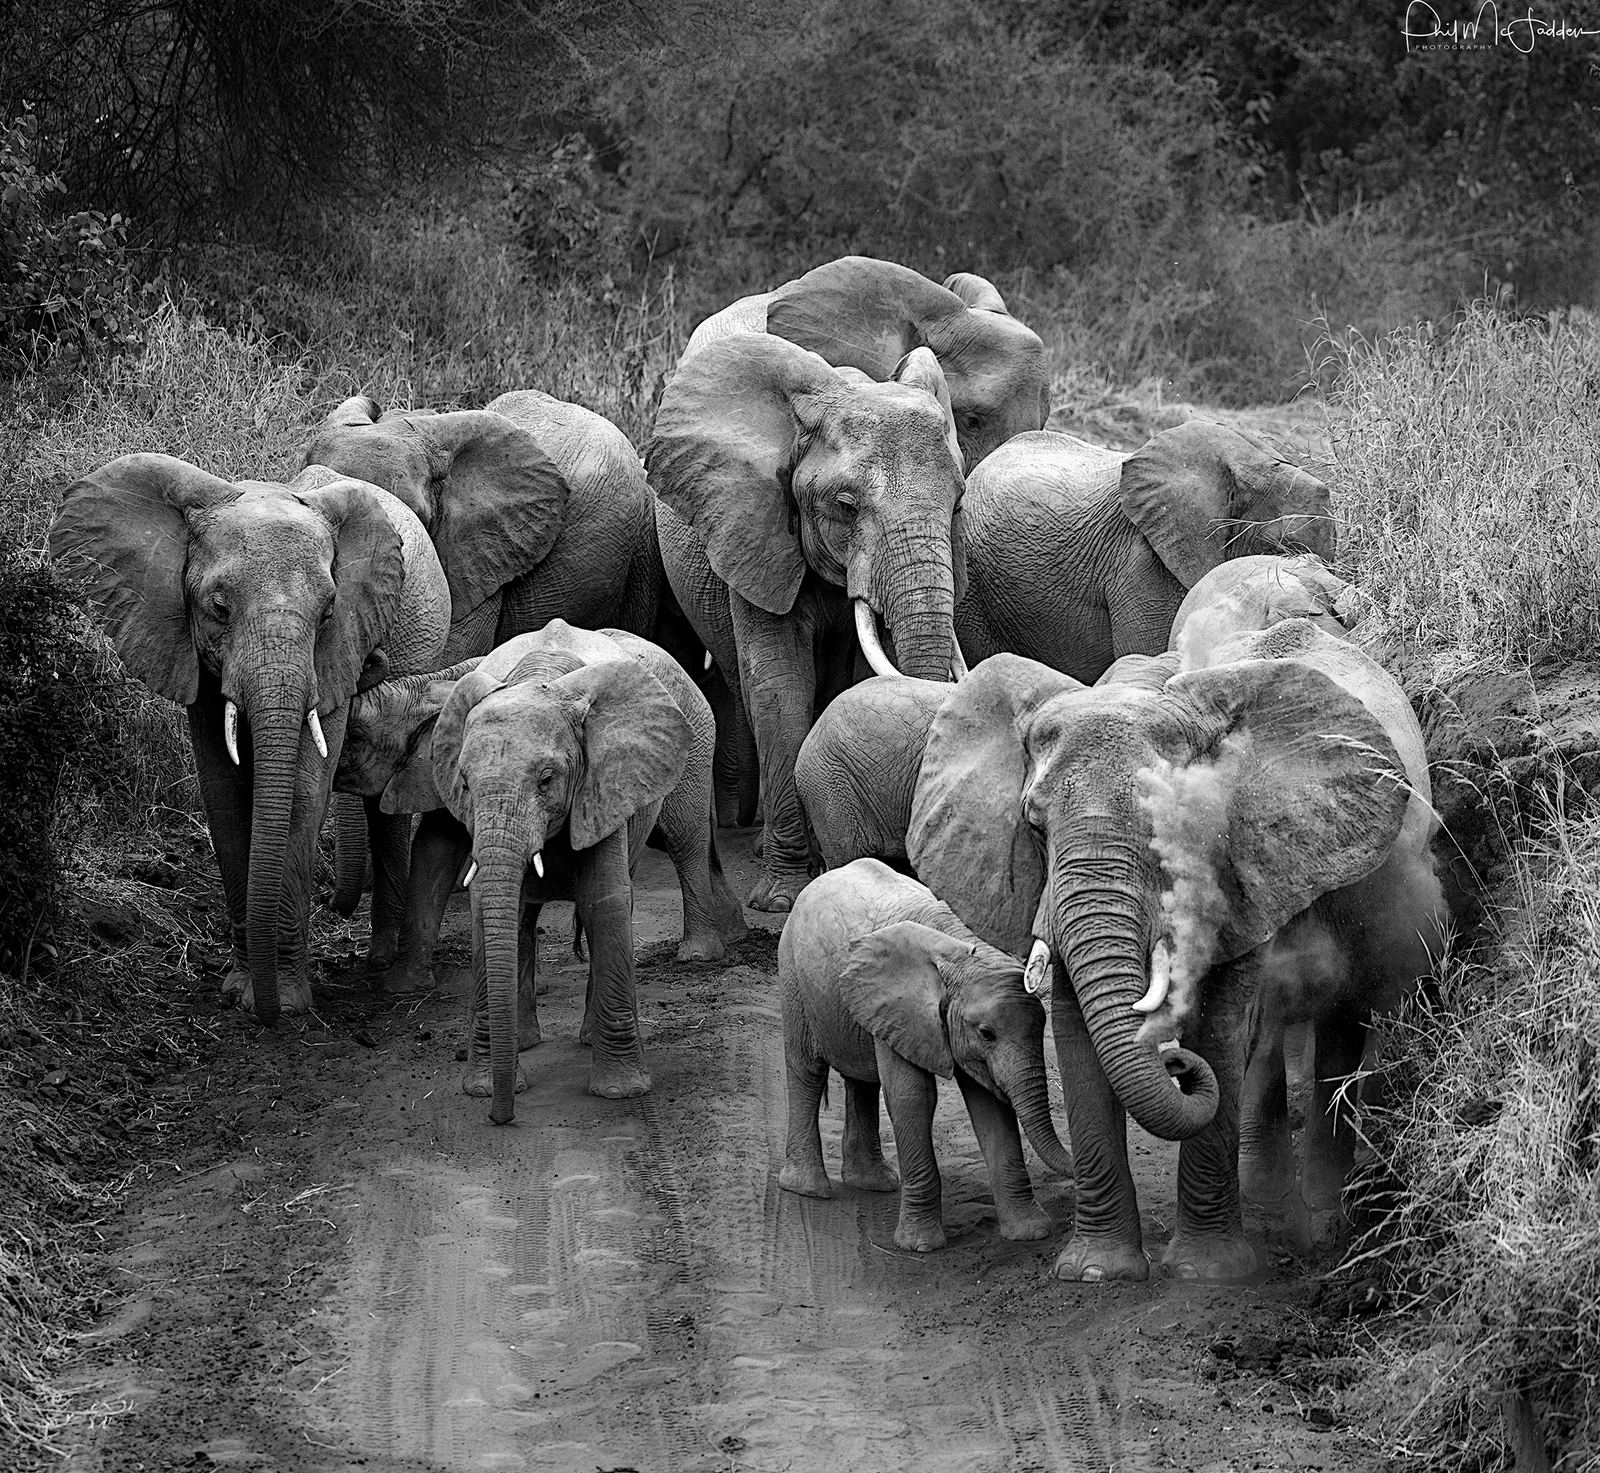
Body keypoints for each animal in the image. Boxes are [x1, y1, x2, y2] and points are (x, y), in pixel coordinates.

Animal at [49, 455, 451, 1020]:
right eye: (218, 609)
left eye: (328, 613)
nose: (267, 1013)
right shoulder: (187, 650)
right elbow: (223, 793)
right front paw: (242, 994)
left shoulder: (334, 653)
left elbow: (302, 790)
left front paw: (286, 1001)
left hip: (421, 632)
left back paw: (383, 961)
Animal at [430, 620, 742, 1122]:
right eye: (463, 782)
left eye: (547, 780)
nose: (502, 1117)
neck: (539, 680)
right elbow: (487, 908)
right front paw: (484, 1087)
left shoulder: (604, 780)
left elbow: (604, 903)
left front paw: (620, 1093)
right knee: (524, 916)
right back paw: (527, 1040)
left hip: (694, 739)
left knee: (686, 840)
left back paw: (694, 957)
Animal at [648, 334, 968, 911]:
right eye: (845, 505)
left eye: (957, 505)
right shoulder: (756, 531)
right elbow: (781, 685)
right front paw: (782, 899)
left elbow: (852, 679)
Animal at [778, 859, 1074, 1251]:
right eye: (987, 1033)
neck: (962, 949)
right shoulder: (903, 1007)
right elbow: (913, 1097)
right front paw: (920, 1246)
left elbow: (990, 1106)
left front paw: (1032, 1233)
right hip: (793, 975)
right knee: (806, 1071)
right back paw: (809, 1189)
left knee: (863, 1081)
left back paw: (873, 1183)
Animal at [907, 619, 1447, 1281]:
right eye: (1033, 827)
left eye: (1177, 826)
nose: (1174, 1064)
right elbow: (1077, 1031)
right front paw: (1098, 1272)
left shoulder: (1242, 865)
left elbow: (1218, 1020)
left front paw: (1207, 1273)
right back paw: (1271, 1203)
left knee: (1338, 1023)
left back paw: (1324, 1223)